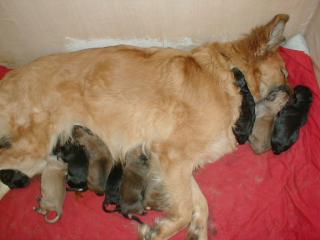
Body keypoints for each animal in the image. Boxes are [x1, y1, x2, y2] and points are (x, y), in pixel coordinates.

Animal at [0, 14, 290, 239]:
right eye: (285, 73)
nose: (293, 93)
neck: (229, 74)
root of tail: (9, 79)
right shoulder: (172, 155)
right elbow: (185, 209)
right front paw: (161, 230)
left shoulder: (174, 163)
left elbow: (200, 202)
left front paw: (197, 229)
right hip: (33, 149)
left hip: (34, 159)